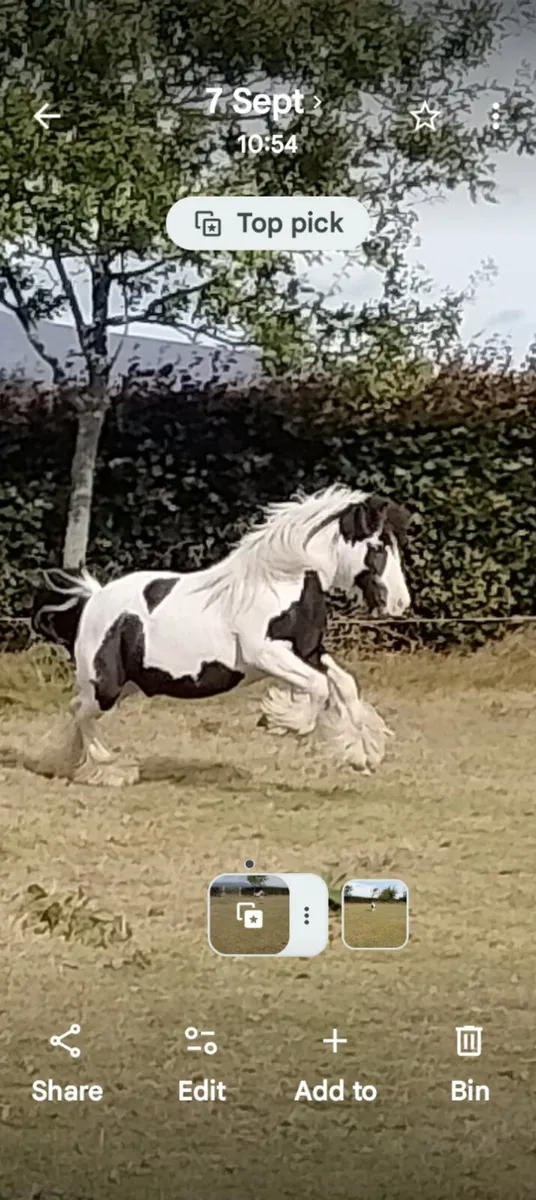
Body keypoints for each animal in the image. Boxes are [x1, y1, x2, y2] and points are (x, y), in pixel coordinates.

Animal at [30, 484, 411, 786]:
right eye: (379, 547)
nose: (400, 602)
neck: (280, 582)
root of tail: (93, 598)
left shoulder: (309, 651)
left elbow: (344, 685)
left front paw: (361, 754)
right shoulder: (267, 654)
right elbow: (318, 687)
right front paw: (282, 721)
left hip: (129, 686)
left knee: (78, 711)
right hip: (107, 687)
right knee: (81, 713)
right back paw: (108, 770)